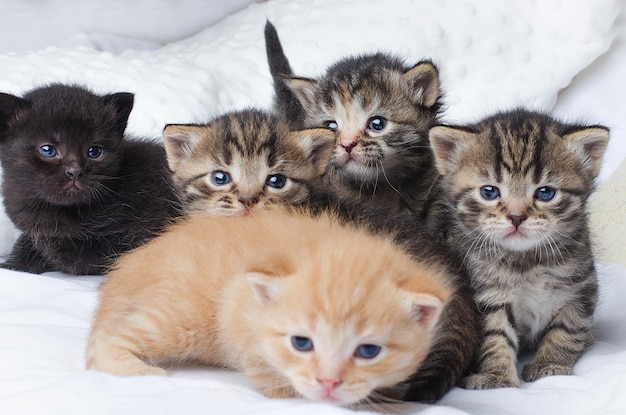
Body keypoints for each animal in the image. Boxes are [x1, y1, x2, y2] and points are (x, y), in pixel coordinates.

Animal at [85, 206, 450, 408]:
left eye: (369, 351)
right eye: (301, 343)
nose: (329, 382)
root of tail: (129, 265)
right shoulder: (241, 324)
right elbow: (277, 385)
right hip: (181, 314)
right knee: (109, 338)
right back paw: (140, 371)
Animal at [426, 109, 608, 390]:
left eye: (545, 193)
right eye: (489, 191)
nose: (516, 216)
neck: (528, 260)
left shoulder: (580, 287)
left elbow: (568, 329)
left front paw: (550, 364)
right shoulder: (488, 296)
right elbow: (495, 335)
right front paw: (497, 376)